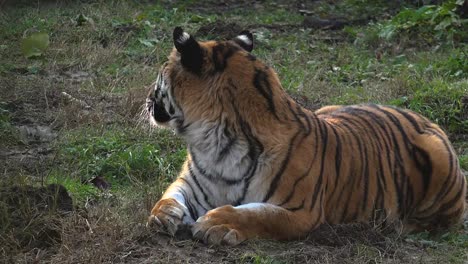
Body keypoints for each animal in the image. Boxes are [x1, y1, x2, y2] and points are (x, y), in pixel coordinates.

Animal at [145, 26, 464, 245]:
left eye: (159, 77)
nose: (148, 99)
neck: (212, 142)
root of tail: (425, 118)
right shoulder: (190, 184)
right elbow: (169, 195)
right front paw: (164, 216)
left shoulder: (301, 210)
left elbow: (256, 214)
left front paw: (215, 223)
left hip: (438, 160)